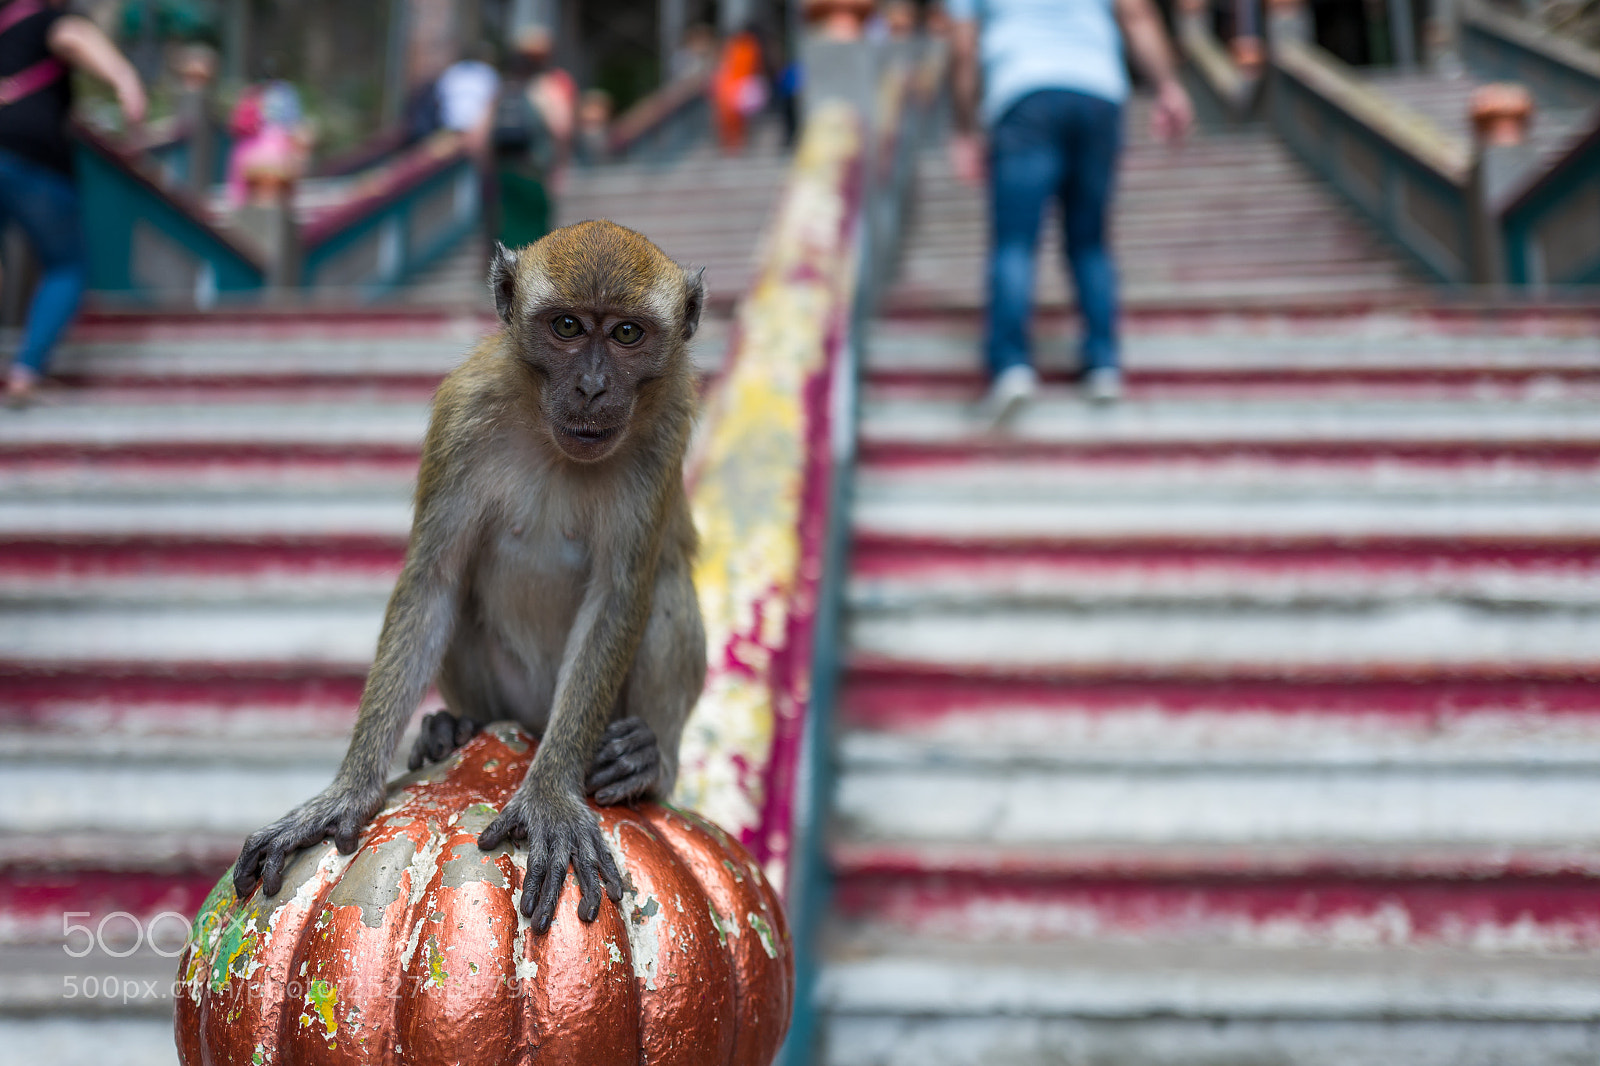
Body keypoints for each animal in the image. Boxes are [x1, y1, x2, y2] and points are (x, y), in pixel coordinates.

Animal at [231, 221, 708, 935]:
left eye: (627, 334)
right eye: (567, 326)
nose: (592, 386)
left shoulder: (666, 429)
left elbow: (621, 598)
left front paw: (550, 793)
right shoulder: (464, 414)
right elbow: (432, 585)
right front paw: (347, 792)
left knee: (667, 590)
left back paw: (646, 763)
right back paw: (454, 729)